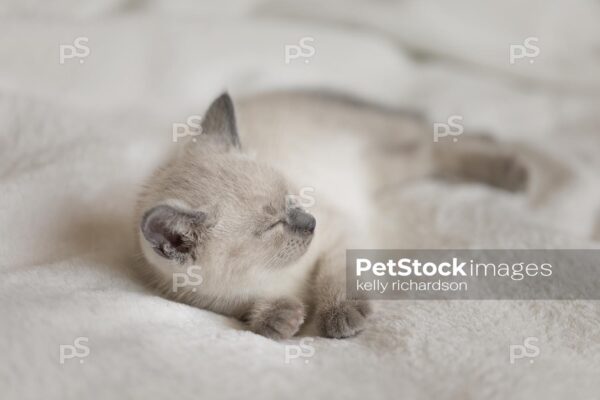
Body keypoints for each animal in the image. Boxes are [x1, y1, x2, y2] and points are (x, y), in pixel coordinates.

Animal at [137, 90, 528, 338]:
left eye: (291, 198)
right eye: (272, 226)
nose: (309, 223)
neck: (273, 274)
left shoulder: (339, 231)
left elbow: (336, 275)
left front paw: (339, 316)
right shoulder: (204, 298)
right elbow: (245, 306)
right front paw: (276, 318)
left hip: (376, 156)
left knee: (430, 141)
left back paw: (513, 171)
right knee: (427, 147)